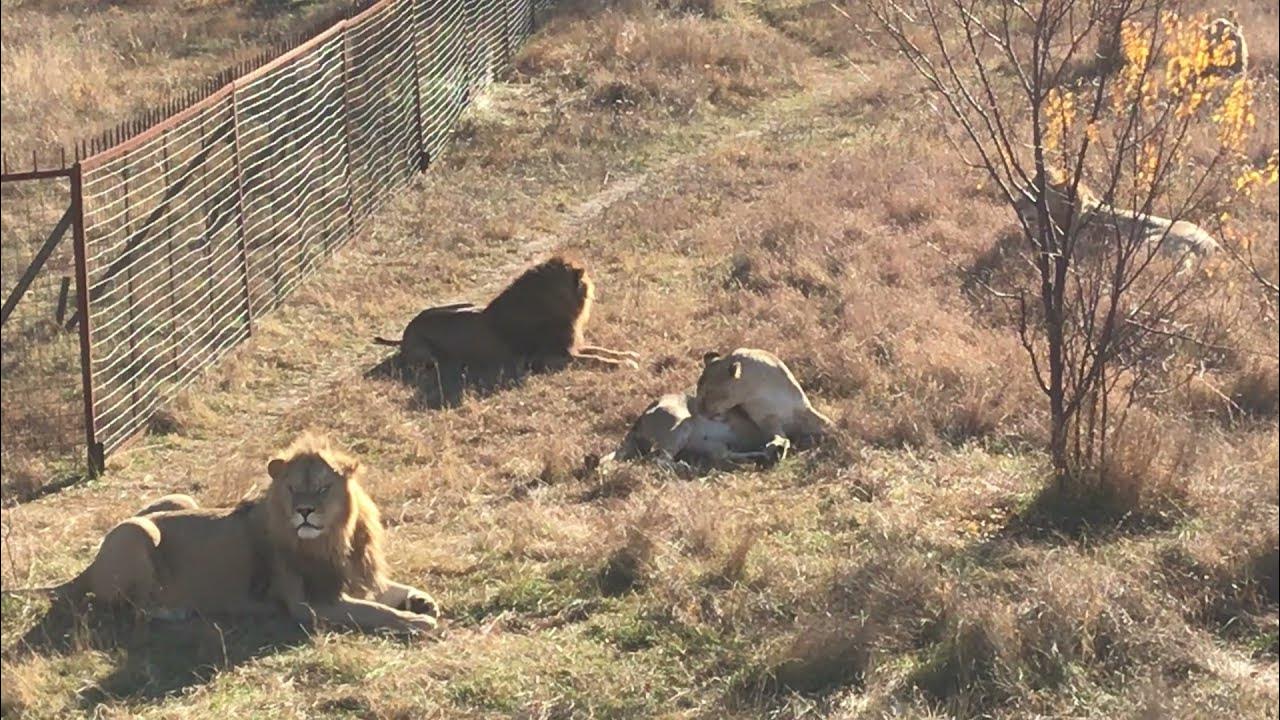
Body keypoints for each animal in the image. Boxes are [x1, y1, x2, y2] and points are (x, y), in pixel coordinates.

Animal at [10, 430, 440, 632]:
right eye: (291, 488)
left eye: (322, 488)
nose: (304, 512)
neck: (335, 538)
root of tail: (86, 568)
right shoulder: (309, 605)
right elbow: (372, 610)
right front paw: (417, 623)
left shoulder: (354, 575)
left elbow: (386, 591)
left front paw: (421, 600)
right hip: (137, 531)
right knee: (131, 608)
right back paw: (176, 611)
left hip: (180, 499)